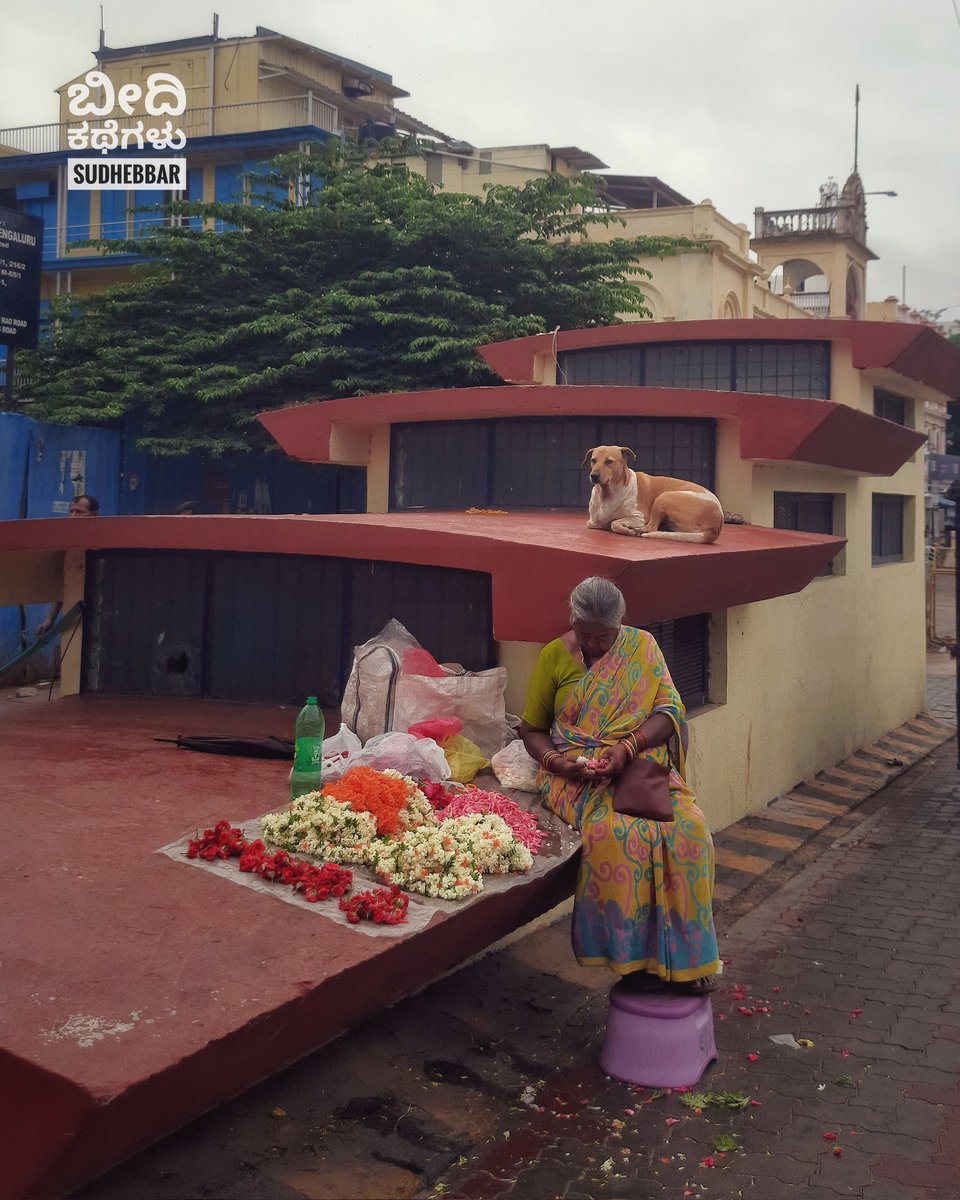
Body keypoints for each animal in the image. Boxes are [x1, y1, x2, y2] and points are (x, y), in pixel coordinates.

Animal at [580, 446, 724, 544]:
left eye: (609, 461)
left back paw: (639, 530)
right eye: (593, 460)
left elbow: (614, 523)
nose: (594, 475)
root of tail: (716, 526)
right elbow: (599, 523)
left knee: (651, 528)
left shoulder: (639, 517)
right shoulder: (592, 522)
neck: (607, 493)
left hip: (663, 497)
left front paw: (628, 529)